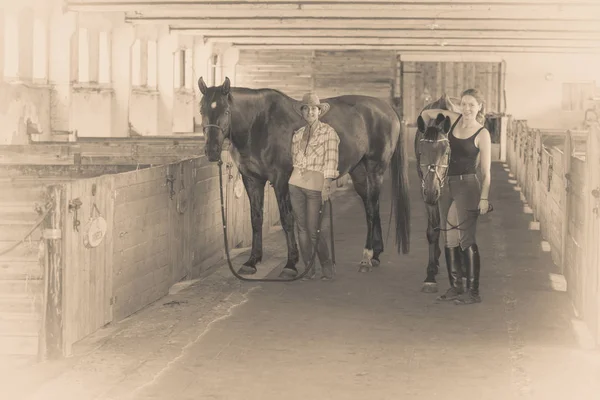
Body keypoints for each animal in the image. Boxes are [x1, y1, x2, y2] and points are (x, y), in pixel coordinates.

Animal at [199, 78, 410, 278]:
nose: (212, 151)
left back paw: (366, 257)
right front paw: (252, 262)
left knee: (372, 210)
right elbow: (256, 218)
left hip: (375, 169)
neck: (259, 124)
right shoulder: (252, 180)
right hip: (359, 172)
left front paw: (290, 264)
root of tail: (388, 109)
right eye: (202, 110)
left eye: (226, 111)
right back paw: (375, 255)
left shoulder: (281, 180)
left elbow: (287, 218)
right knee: (371, 206)